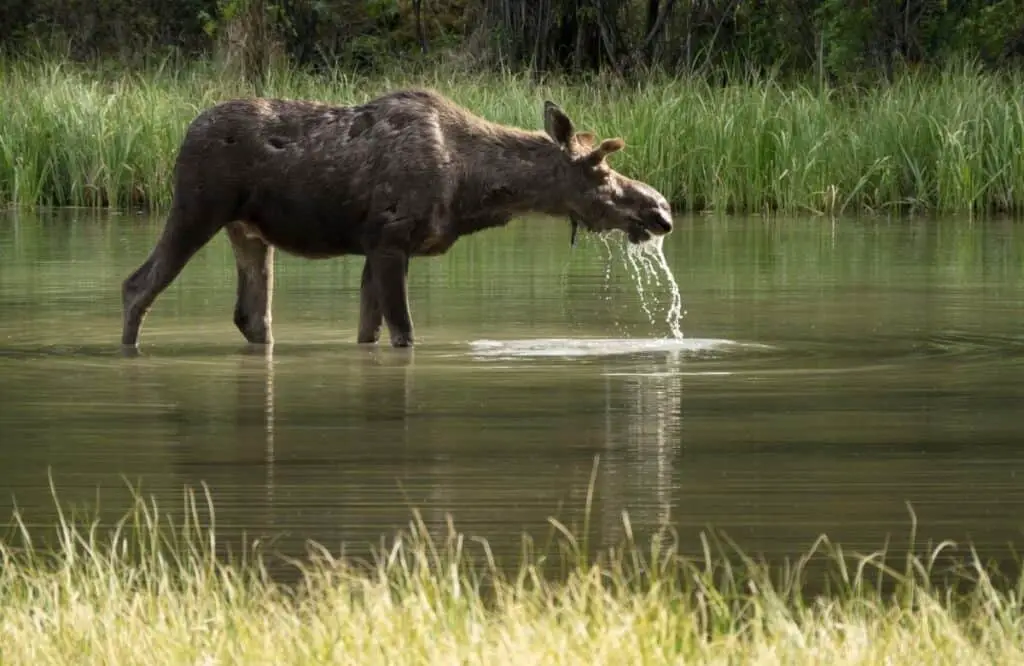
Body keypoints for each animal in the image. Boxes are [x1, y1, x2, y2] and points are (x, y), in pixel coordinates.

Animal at [119, 87, 675, 348]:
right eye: (600, 170)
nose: (661, 209)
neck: (473, 187)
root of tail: (185, 133)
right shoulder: (390, 239)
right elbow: (404, 331)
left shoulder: (375, 249)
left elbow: (368, 331)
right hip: (195, 208)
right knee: (137, 285)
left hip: (250, 232)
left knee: (253, 316)